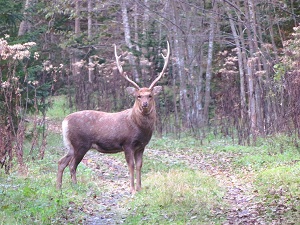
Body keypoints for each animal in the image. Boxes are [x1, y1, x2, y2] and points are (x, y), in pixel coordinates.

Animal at [55, 41, 169, 194]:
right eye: (138, 96)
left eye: (150, 95)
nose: (144, 104)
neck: (139, 127)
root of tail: (64, 121)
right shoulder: (127, 143)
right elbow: (131, 165)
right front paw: (132, 189)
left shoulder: (141, 146)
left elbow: (139, 165)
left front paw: (140, 188)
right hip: (80, 143)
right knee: (72, 165)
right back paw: (75, 186)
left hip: (71, 145)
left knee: (62, 162)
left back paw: (59, 187)